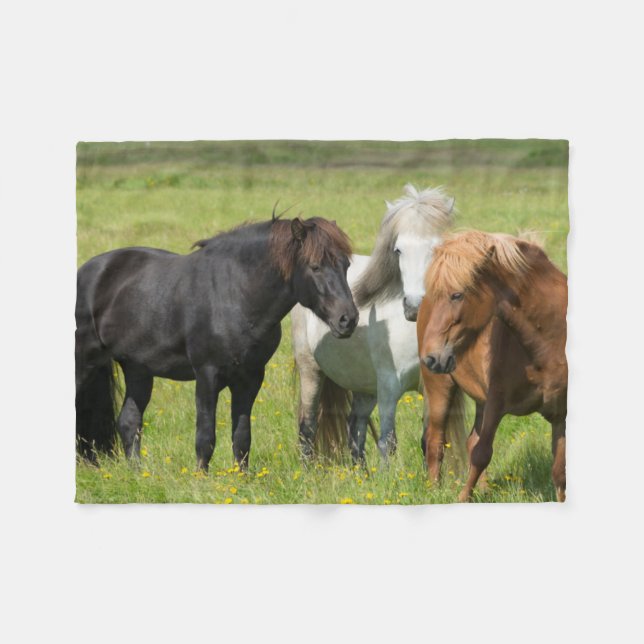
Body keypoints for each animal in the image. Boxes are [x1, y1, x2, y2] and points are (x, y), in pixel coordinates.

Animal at [76, 210, 358, 472]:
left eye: (346, 265)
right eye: (315, 266)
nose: (348, 319)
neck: (235, 294)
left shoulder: (250, 378)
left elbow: (242, 437)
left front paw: (242, 478)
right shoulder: (206, 375)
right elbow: (205, 436)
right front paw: (201, 479)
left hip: (138, 370)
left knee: (129, 421)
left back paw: (138, 473)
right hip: (85, 363)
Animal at [292, 184, 467, 467]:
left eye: (437, 248)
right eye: (398, 250)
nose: (414, 307)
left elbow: (429, 441)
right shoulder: (388, 386)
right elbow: (388, 442)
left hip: (364, 386)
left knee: (355, 425)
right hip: (311, 371)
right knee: (307, 427)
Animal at [417, 230, 568, 501]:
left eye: (457, 295)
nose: (431, 357)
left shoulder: (561, 413)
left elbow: (560, 471)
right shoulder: (497, 401)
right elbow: (481, 453)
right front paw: (462, 499)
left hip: (480, 400)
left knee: (468, 441)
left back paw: (485, 490)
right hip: (440, 389)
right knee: (435, 442)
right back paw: (433, 491)